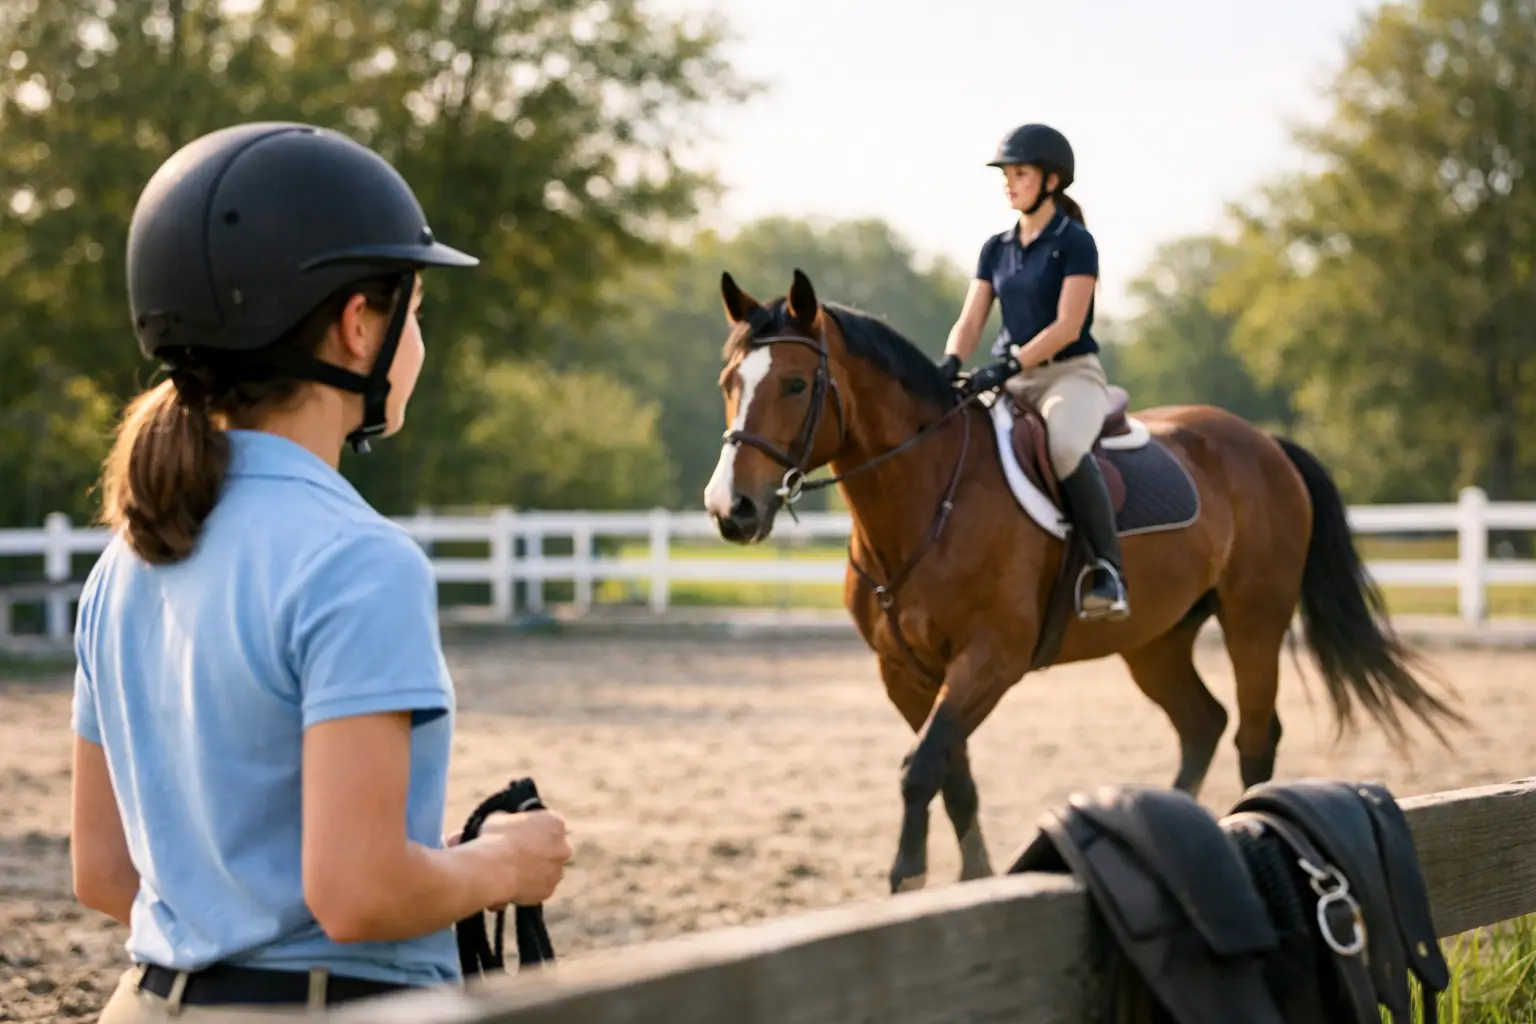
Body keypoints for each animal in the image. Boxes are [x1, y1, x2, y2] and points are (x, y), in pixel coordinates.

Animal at [702, 267, 1466, 896]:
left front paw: (908, 879)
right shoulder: (905, 672)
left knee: (1255, 735)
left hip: (1255, 620)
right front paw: (972, 882)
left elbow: (922, 767)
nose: (731, 510)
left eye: (796, 384)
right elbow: (953, 775)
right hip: (1156, 641)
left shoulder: (991, 658)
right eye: (728, 385)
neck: (927, 498)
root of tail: (1263, 442)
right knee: (1203, 722)